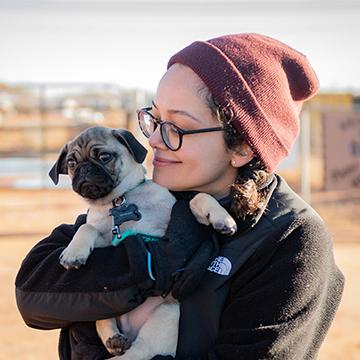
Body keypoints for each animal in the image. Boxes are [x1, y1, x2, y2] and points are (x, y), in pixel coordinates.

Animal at [50, 126, 236, 358]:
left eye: (104, 157)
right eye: (72, 163)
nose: (83, 169)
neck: (120, 200)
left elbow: (197, 197)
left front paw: (222, 218)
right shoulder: (106, 240)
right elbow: (87, 227)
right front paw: (74, 252)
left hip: (166, 314)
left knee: (139, 352)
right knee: (104, 322)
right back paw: (114, 339)